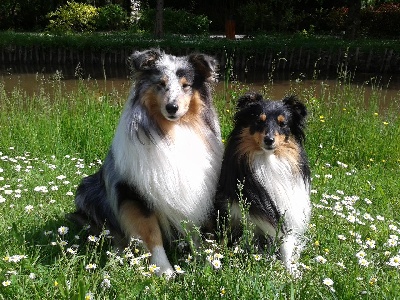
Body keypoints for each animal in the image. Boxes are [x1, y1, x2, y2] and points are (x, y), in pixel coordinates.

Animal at [70, 49, 223, 276]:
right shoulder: (135, 194)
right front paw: (165, 271)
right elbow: (151, 234)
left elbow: (195, 230)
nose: (172, 107)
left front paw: (205, 259)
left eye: (186, 85)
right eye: (161, 83)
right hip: (87, 190)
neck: (172, 131)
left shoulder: (193, 193)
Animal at [216, 92, 312, 274]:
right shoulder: (232, 213)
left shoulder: (285, 215)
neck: (267, 161)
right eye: (259, 121)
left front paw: (291, 272)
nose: (269, 140)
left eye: (283, 124)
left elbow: (286, 245)